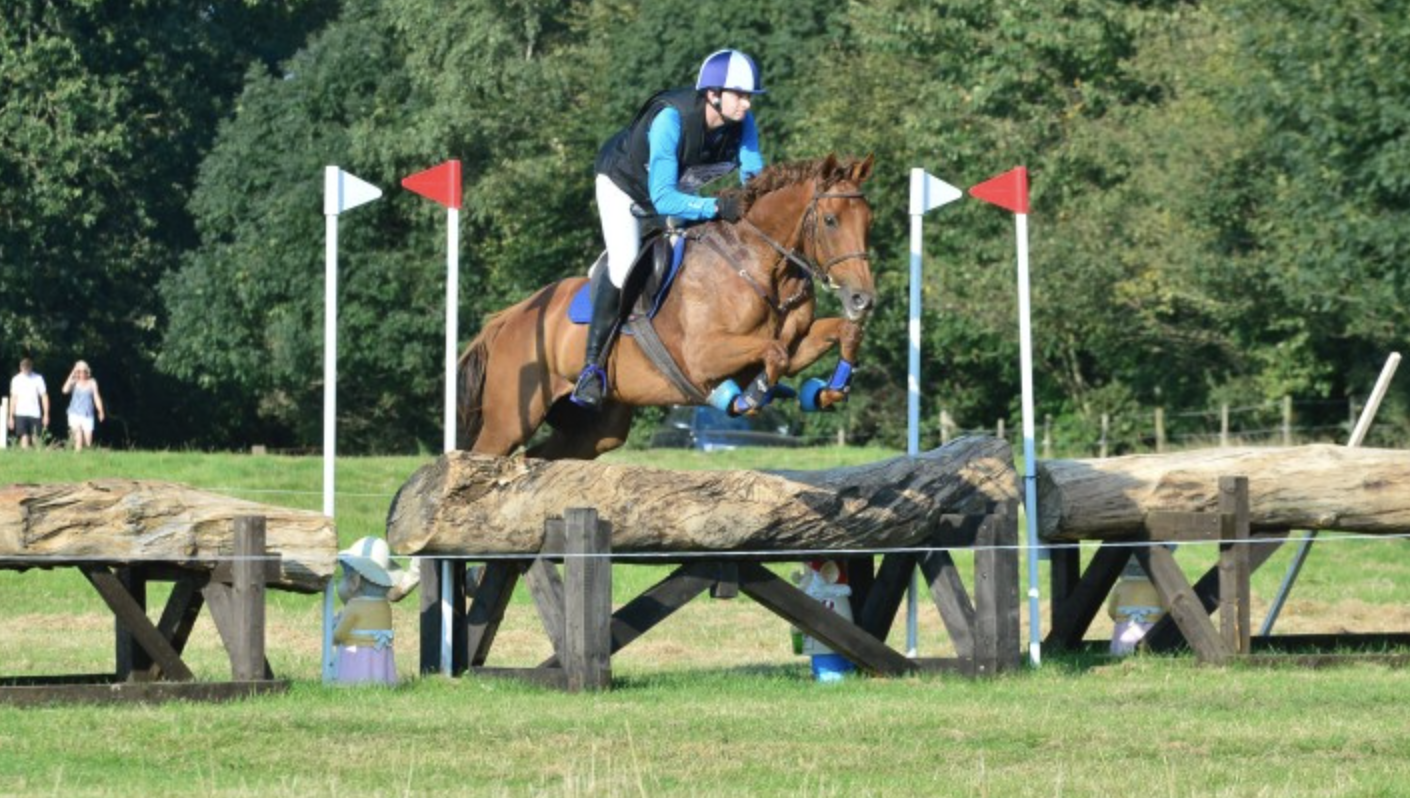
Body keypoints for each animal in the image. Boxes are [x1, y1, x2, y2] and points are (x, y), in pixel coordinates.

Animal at [457, 153, 876, 460]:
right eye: (830, 220)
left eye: (868, 221)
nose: (863, 298)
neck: (759, 266)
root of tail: (509, 318)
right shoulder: (702, 356)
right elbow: (774, 353)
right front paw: (749, 397)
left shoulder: (796, 339)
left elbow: (834, 334)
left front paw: (830, 390)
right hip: (509, 420)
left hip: (596, 430)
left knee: (537, 460)